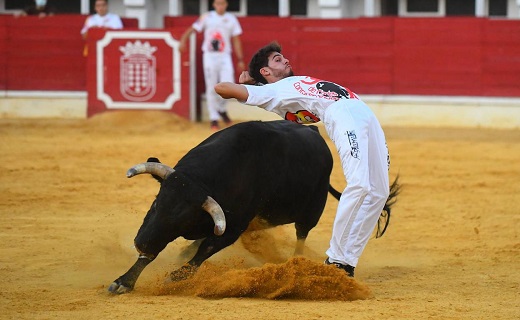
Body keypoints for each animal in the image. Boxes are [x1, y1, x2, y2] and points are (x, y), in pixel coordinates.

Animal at [105, 120, 398, 296]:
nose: (141, 242)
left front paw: (175, 276)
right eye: (156, 203)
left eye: (184, 219)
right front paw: (124, 281)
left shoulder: (233, 227)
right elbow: (158, 254)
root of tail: (315, 132)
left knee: (301, 237)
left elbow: (203, 252)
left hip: (312, 210)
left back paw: (296, 264)